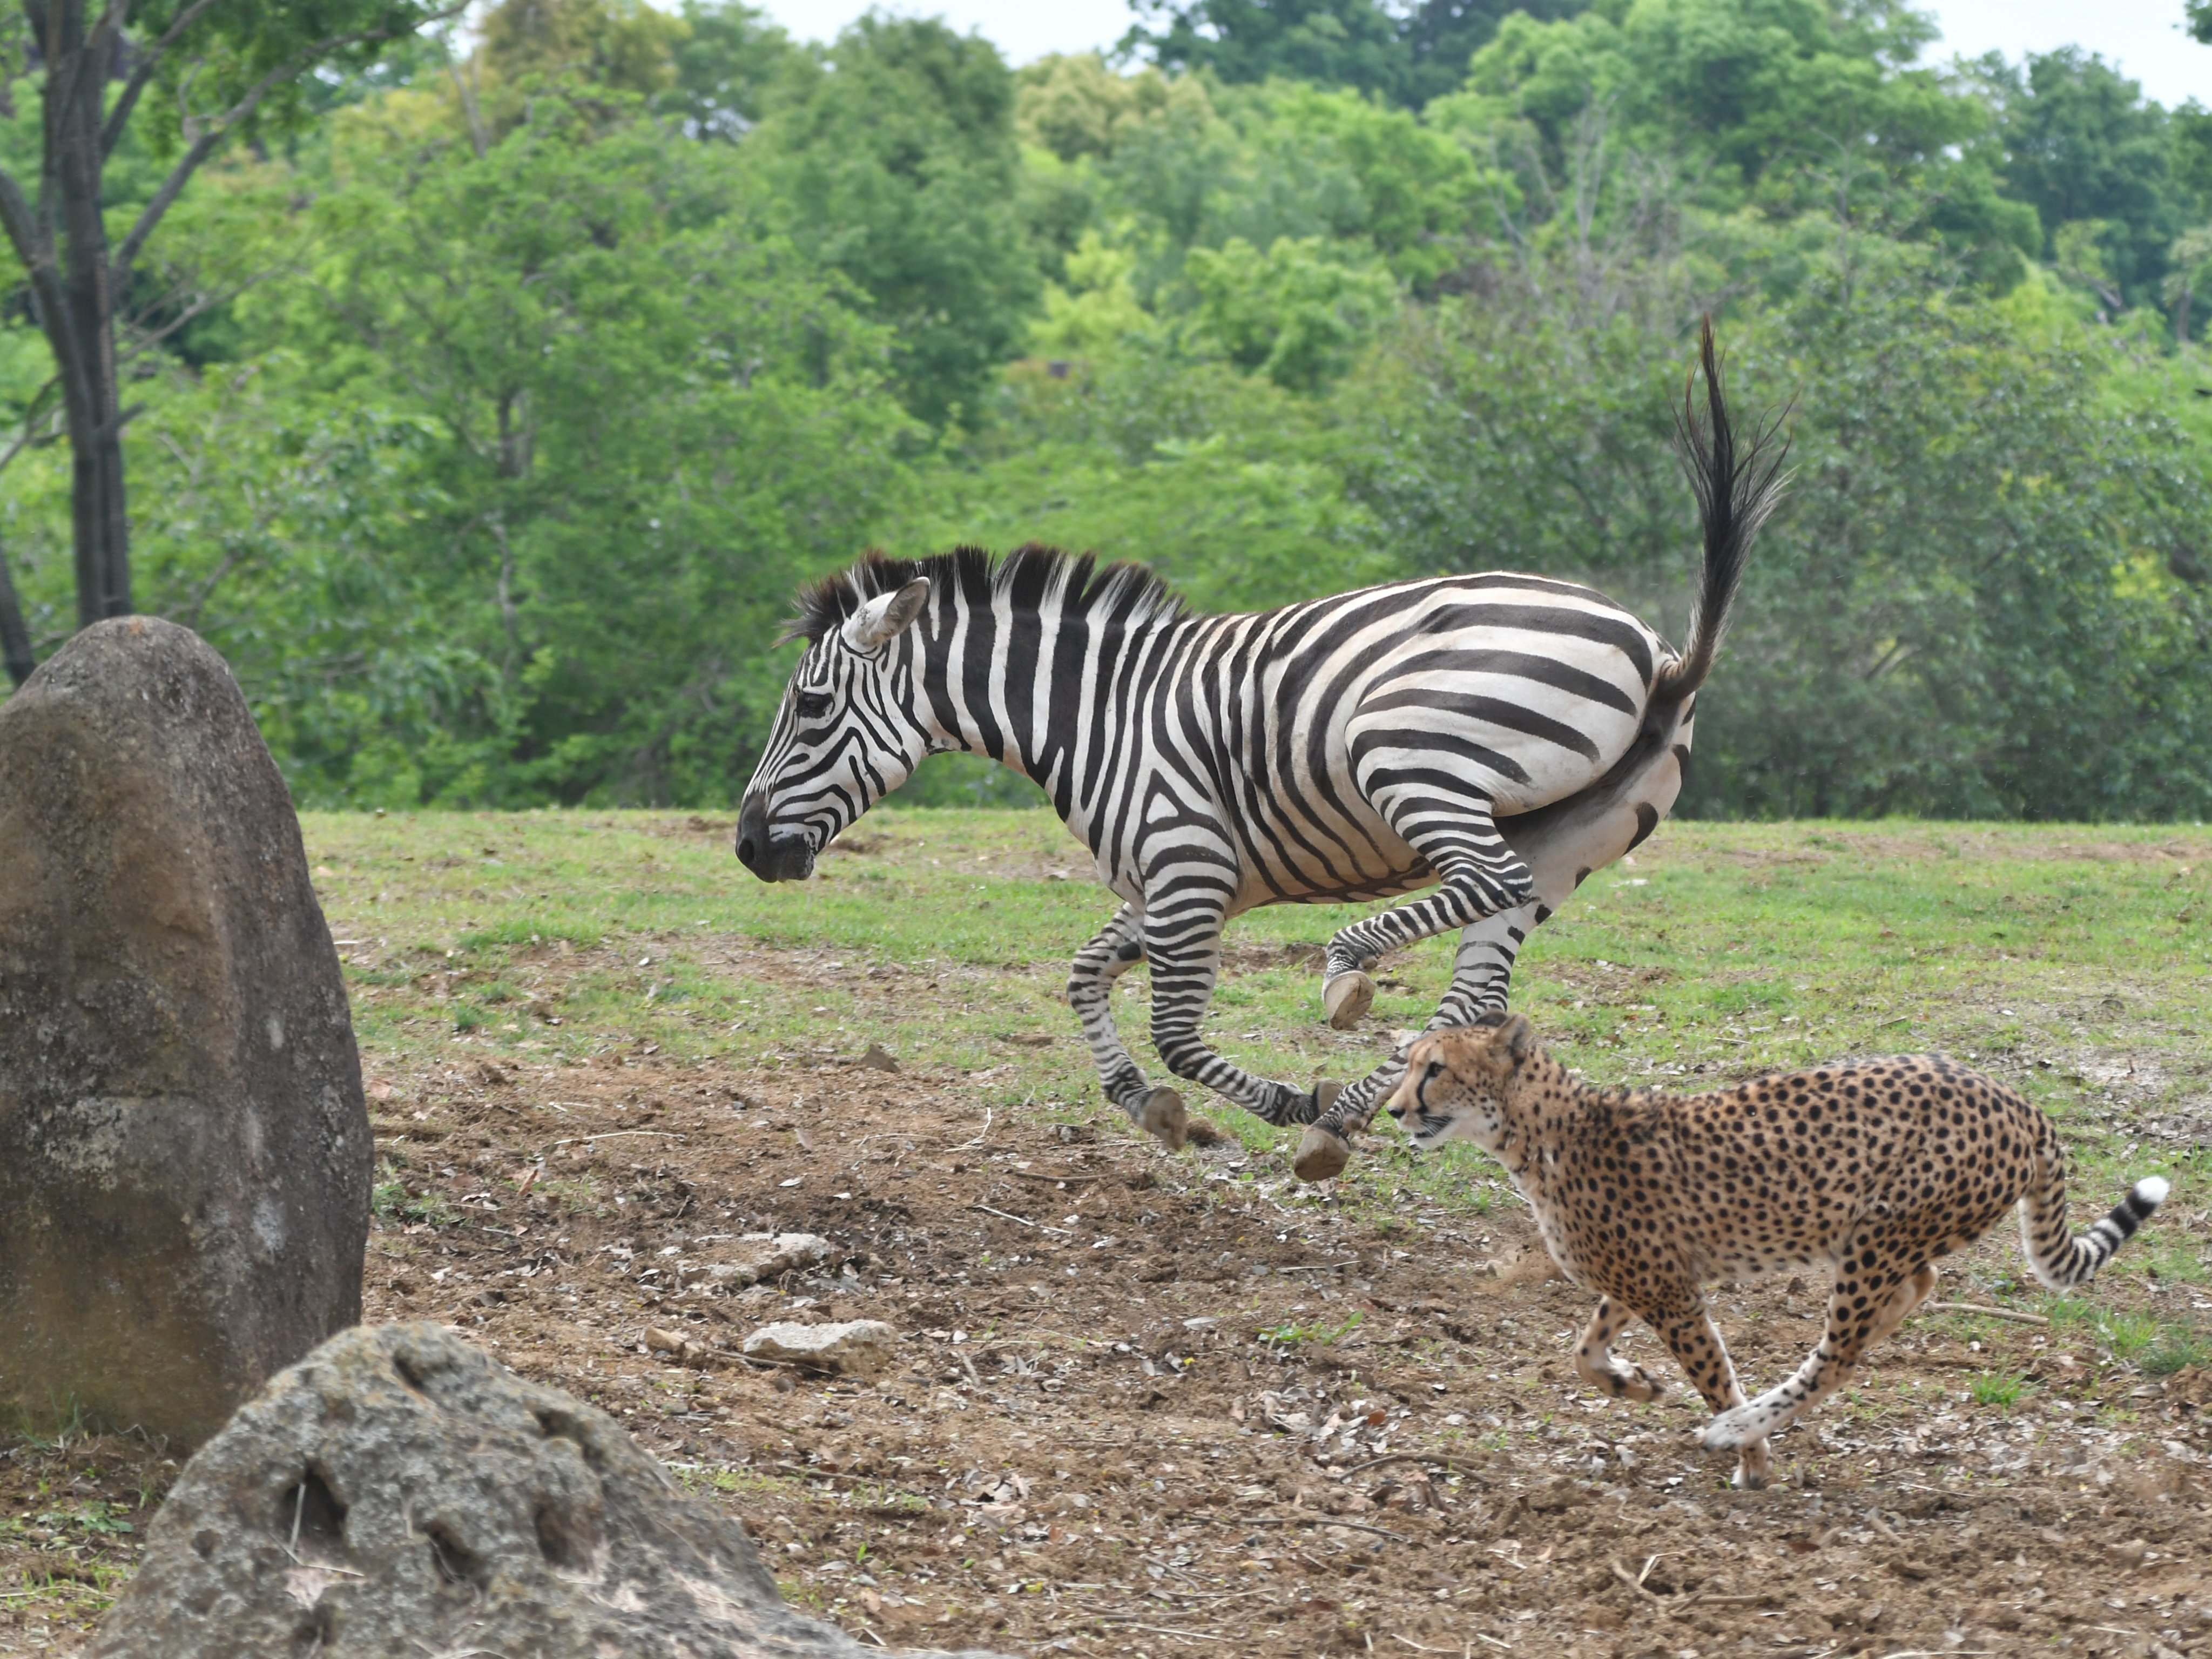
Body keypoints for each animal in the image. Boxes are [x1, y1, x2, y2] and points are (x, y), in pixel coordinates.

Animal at [734, 320, 1787, 1185]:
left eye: (811, 706)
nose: (746, 849)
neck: (1098, 712)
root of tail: (1657, 654)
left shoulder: (1187, 866)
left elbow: (1173, 1029)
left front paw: (1265, 1103)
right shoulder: (1179, 883)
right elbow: (1082, 974)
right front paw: (1153, 1108)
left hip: (1408, 752)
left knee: (1478, 888)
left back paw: (1349, 974)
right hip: (1568, 838)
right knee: (1475, 989)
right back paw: (1351, 1113)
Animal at [1389, 1013, 2168, 1495]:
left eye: (1435, 1069)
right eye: (1410, 1066)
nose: (1395, 1110)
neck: (1541, 1133)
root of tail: (2017, 1100)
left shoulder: (1671, 1294)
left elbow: (1714, 1376)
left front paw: (1752, 1460)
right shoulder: (1646, 1281)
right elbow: (1583, 1351)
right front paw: (1635, 1384)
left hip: (1875, 1238)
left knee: (1839, 1355)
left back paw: (1741, 1427)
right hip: (1886, 1236)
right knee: (1915, 1288)